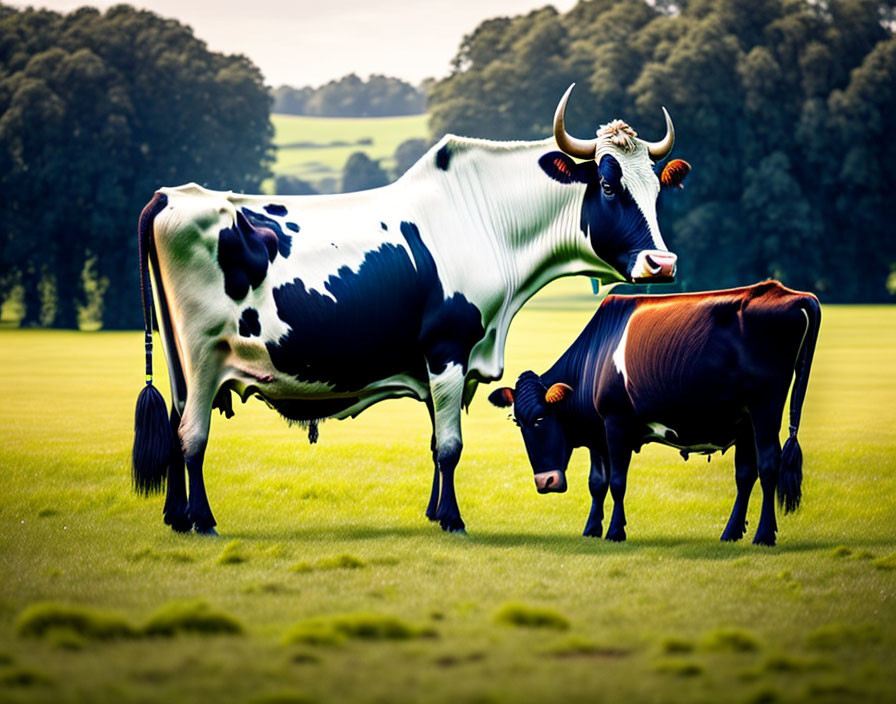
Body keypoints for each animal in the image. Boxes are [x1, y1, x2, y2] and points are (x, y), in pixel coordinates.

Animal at [133, 84, 688, 532]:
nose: (662, 263)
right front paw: (453, 520)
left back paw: (176, 516)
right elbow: (450, 446)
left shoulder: (436, 363)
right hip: (204, 356)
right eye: (610, 186)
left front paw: (434, 513)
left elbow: (435, 441)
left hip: (180, 362)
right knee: (192, 436)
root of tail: (172, 196)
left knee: (177, 426)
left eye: (657, 190)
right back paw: (203, 520)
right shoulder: (447, 347)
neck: (483, 218)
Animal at [490, 284, 820, 548]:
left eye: (540, 419)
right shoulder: (599, 431)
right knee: (746, 473)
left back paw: (764, 535)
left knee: (769, 465)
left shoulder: (616, 423)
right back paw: (731, 532)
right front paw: (592, 529)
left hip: (767, 404)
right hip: (747, 418)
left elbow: (617, 481)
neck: (591, 362)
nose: (545, 482)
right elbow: (597, 482)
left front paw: (615, 532)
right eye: (518, 421)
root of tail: (789, 293)